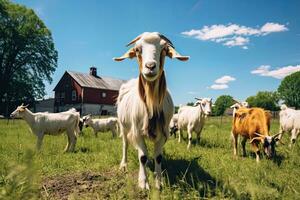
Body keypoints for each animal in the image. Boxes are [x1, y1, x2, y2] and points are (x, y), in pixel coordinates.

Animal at [113, 31, 189, 189]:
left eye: (164, 49)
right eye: (137, 50)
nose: (150, 66)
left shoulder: (163, 132)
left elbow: (158, 157)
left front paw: (158, 182)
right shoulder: (137, 131)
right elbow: (142, 156)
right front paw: (143, 183)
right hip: (123, 126)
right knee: (125, 144)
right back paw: (123, 165)